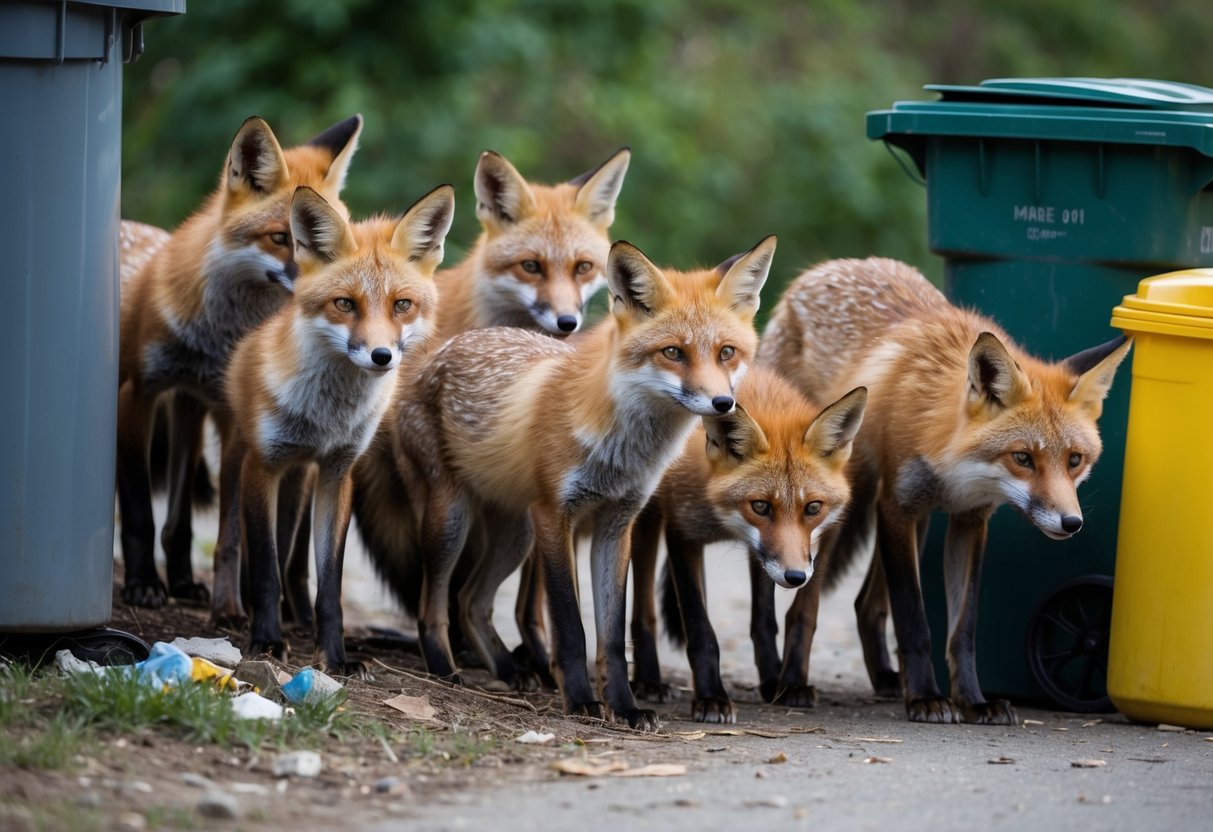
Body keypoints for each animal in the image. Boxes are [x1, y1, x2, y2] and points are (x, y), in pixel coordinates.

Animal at [116, 114, 363, 624]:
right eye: (281, 237)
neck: (214, 337)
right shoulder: (138, 392)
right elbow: (137, 514)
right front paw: (142, 584)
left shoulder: (234, 420)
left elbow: (230, 534)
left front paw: (229, 606)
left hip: (192, 416)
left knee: (180, 526)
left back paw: (188, 581)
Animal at [227, 184, 453, 675]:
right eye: (345, 304)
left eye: (401, 305)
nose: (382, 356)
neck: (324, 420)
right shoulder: (262, 465)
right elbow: (265, 569)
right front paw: (267, 641)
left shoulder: (338, 471)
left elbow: (329, 585)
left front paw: (334, 657)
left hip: (301, 480)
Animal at [387, 237, 773, 729]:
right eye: (673, 353)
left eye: (726, 352)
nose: (723, 403)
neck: (621, 451)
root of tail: (434, 351)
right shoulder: (556, 516)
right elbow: (571, 627)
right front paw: (581, 702)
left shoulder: (617, 523)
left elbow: (610, 636)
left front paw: (624, 706)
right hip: (453, 520)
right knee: (434, 605)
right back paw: (444, 670)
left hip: (516, 535)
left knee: (472, 602)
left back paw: (512, 671)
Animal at [628, 365, 867, 723]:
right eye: (760, 506)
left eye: (813, 508)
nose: (795, 577)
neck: (724, 520)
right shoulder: (683, 532)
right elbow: (701, 629)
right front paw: (711, 697)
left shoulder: (800, 546)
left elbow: (780, 619)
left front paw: (783, 683)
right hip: (644, 517)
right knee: (643, 610)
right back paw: (648, 681)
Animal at [758, 257, 1132, 724]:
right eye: (1023, 458)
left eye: (1075, 460)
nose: (1071, 523)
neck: (956, 474)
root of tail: (819, 270)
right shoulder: (896, 507)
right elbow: (914, 620)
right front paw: (925, 698)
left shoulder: (969, 521)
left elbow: (963, 630)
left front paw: (972, 700)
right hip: (832, 508)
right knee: (801, 608)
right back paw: (790, 683)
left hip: (910, 523)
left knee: (866, 606)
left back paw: (885, 679)